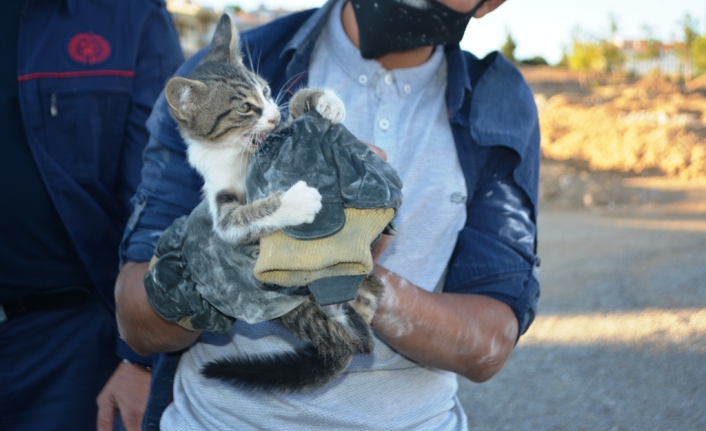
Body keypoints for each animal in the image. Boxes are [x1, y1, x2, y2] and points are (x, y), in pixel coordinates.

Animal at [163, 13, 382, 394]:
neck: (239, 152)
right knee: (354, 338)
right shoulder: (220, 205)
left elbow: (296, 118)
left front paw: (323, 101)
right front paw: (298, 200)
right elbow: (241, 219)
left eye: (265, 92)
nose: (272, 116)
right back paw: (340, 316)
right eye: (244, 107)